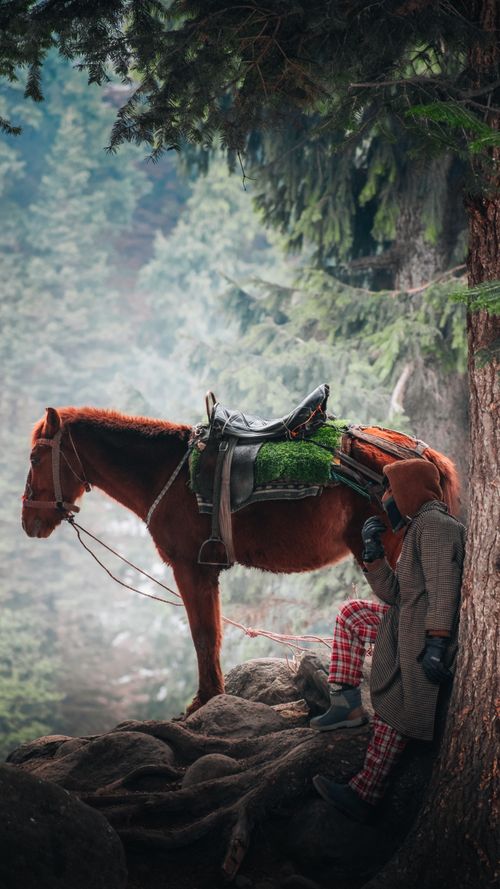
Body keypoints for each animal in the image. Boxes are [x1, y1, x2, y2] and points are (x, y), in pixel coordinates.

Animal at [21, 405, 460, 712]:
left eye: (34, 459)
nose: (28, 521)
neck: (168, 473)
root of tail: (423, 456)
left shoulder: (190, 567)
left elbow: (202, 634)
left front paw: (204, 699)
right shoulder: (206, 570)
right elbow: (213, 632)